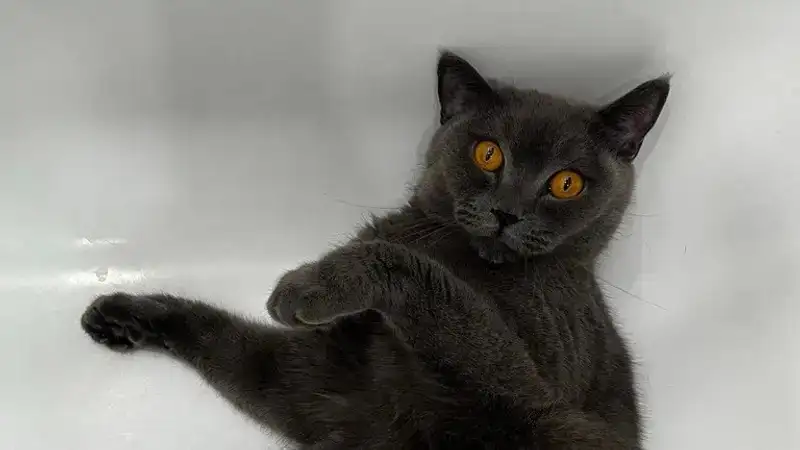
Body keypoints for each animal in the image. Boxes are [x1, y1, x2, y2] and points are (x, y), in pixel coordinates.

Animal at [81, 51, 669, 449]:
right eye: (488, 153)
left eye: (566, 183)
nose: (507, 211)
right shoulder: (330, 387)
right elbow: (231, 345)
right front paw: (126, 313)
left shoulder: (534, 383)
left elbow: (430, 284)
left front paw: (306, 286)